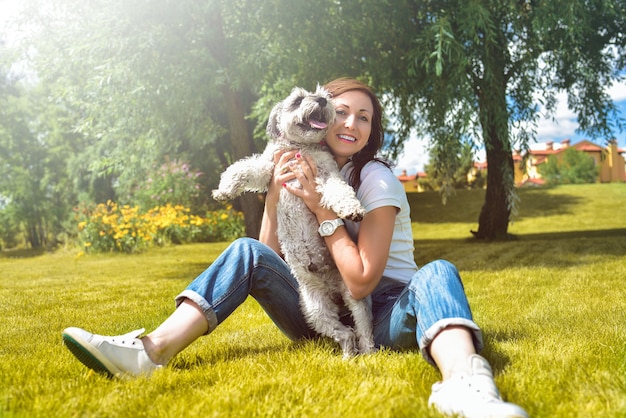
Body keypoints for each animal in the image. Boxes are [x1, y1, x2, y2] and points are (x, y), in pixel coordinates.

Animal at [212, 86, 372, 358]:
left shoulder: (327, 174)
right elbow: (241, 168)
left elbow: (339, 190)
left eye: (321, 94)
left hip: (353, 297)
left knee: (361, 329)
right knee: (345, 333)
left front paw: (352, 209)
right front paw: (223, 191)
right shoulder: (268, 168)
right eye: (297, 100)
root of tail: (330, 288)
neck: (302, 148)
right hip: (315, 308)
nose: (321, 100)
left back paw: (366, 353)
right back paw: (349, 355)